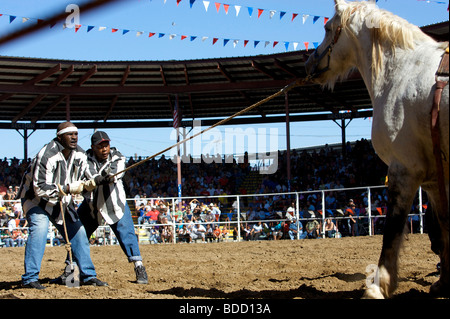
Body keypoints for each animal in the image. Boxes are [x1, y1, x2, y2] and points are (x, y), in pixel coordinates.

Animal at [304, 0, 448, 300]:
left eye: (327, 28)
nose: (309, 63)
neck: (403, 70)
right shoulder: (435, 179)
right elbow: (445, 225)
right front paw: (444, 282)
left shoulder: (404, 169)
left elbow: (391, 230)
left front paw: (378, 286)